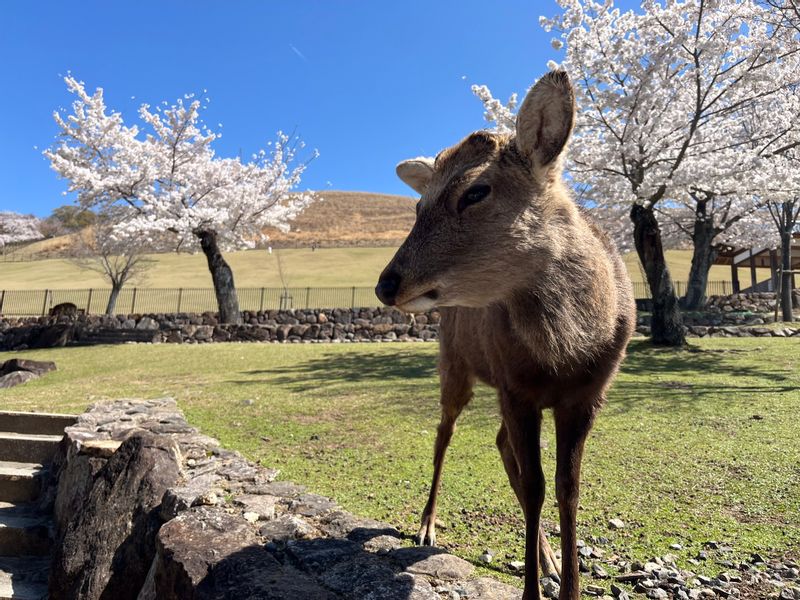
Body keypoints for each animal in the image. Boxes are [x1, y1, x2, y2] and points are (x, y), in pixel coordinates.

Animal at [376, 71, 636, 600]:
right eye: (418, 204)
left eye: (476, 192)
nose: (386, 283)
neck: (565, 353)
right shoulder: (516, 388)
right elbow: (536, 485)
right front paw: (534, 589)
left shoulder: (588, 395)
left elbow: (567, 487)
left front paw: (569, 583)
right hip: (455, 366)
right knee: (445, 434)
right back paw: (427, 525)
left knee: (499, 445)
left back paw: (548, 559)